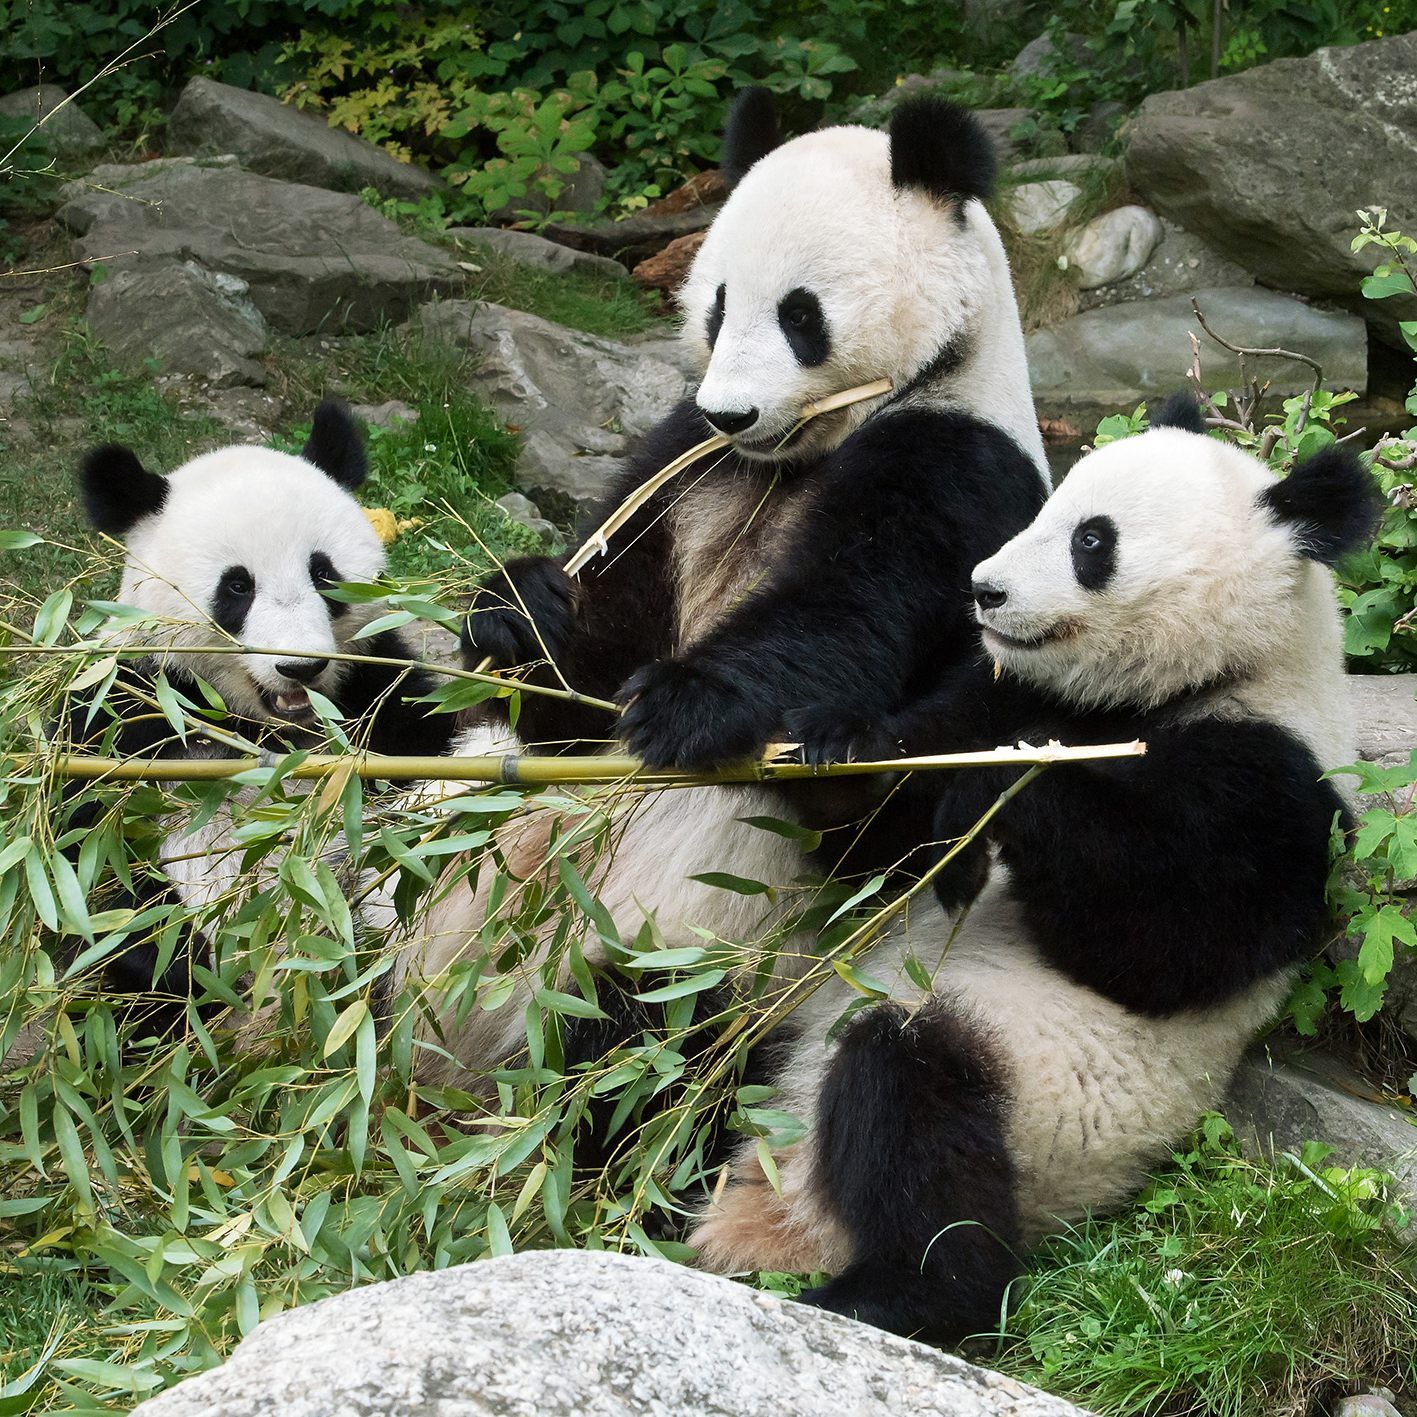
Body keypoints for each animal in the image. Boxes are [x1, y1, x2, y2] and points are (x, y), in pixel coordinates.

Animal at [63, 401, 460, 1002]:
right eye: (237, 587)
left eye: (324, 574)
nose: (300, 667)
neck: (265, 729)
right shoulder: (130, 706)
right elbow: (85, 854)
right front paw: (161, 958)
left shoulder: (377, 693)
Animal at [394, 90, 1050, 1085]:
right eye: (716, 303)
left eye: (800, 314)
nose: (730, 412)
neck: (791, 457)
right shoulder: (685, 468)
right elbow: (573, 699)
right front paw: (521, 611)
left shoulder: (954, 462)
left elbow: (843, 616)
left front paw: (685, 702)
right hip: (432, 864)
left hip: (697, 952)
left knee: (639, 1046)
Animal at [688, 397, 1381, 1344]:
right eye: (1048, 506)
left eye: (1092, 540)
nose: (984, 589)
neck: (1185, 681)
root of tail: (778, 1208)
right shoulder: (1008, 689)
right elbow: (880, 838)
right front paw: (833, 744)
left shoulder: (1275, 779)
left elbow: (1164, 944)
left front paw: (997, 788)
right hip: (774, 1024)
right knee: (682, 1041)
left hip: (1032, 1105)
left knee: (912, 1107)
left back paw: (892, 1291)